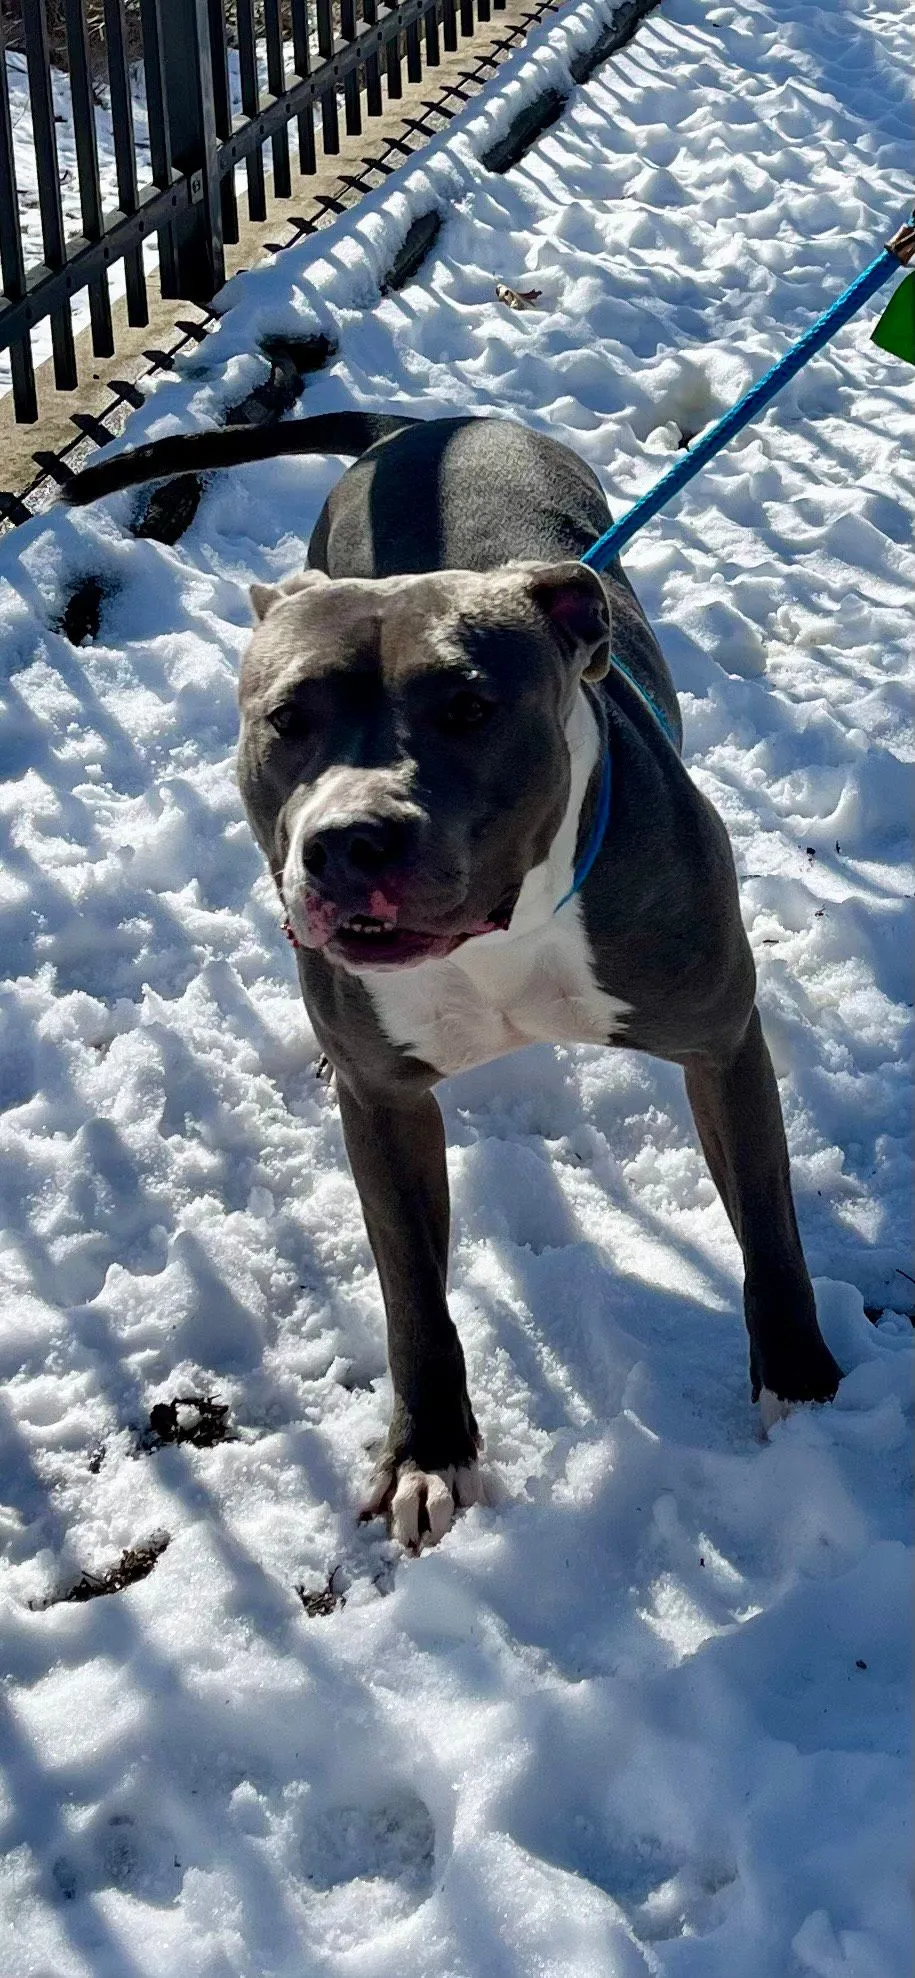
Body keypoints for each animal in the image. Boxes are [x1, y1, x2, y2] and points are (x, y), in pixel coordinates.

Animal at [65, 411, 842, 1547]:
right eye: (286, 719)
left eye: (470, 708)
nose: (348, 842)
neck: (498, 939)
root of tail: (431, 423)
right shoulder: (385, 1102)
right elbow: (411, 1298)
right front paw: (429, 1455)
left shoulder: (721, 1041)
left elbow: (772, 1231)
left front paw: (803, 1388)